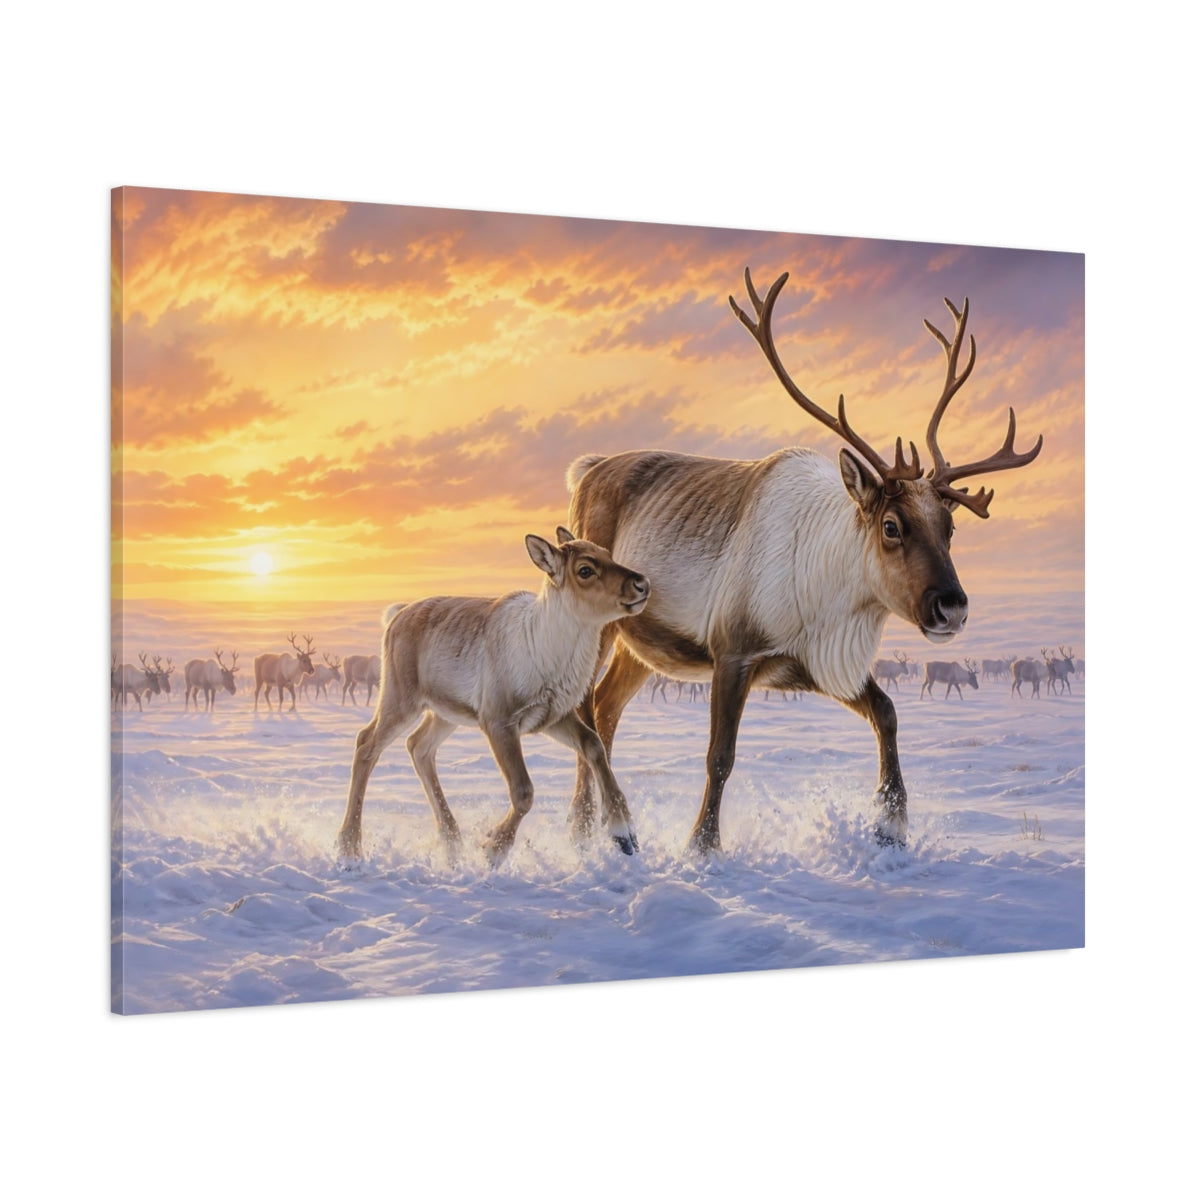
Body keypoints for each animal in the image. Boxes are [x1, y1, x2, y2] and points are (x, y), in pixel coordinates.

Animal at [335, 530, 650, 866]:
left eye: (607, 554)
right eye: (585, 570)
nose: (642, 584)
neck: (547, 648)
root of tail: (396, 615)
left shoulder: (553, 717)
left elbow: (594, 745)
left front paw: (625, 835)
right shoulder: (498, 720)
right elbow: (523, 790)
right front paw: (493, 848)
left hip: (446, 712)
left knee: (418, 746)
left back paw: (453, 842)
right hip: (401, 698)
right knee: (367, 743)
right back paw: (350, 847)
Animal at [565, 269, 1043, 853]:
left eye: (950, 528)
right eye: (891, 526)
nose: (952, 607)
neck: (831, 594)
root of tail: (587, 469)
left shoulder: (818, 663)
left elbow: (887, 712)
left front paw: (891, 826)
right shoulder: (733, 650)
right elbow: (719, 756)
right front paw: (702, 846)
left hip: (644, 642)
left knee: (605, 707)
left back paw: (595, 831)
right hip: (599, 623)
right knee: (585, 709)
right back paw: (584, 829)